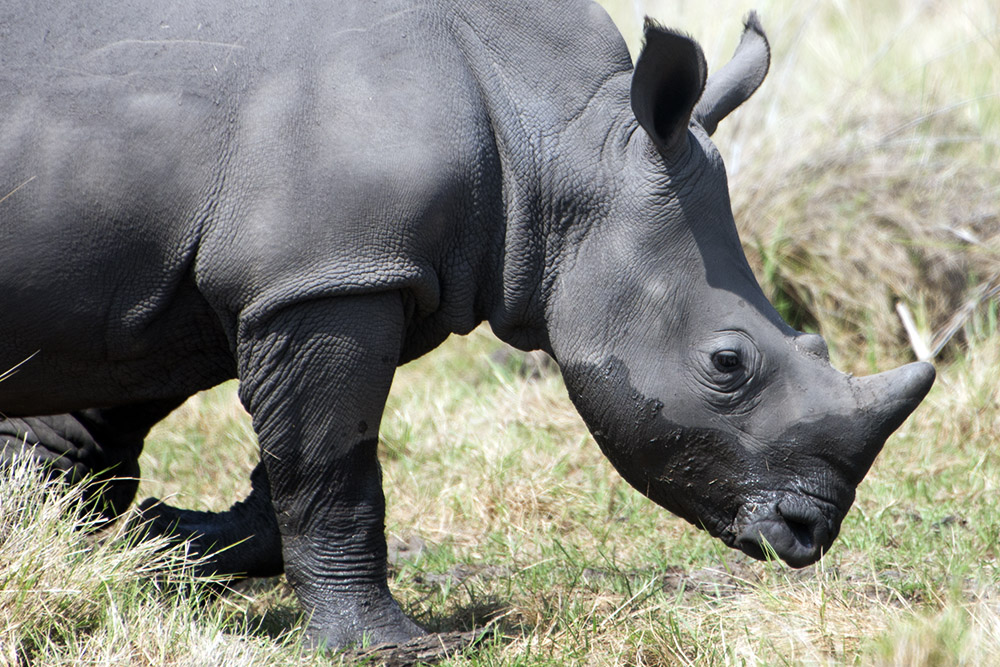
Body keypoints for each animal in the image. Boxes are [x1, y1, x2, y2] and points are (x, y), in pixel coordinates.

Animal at [0, 0, 934, 651]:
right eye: (728, 362)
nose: (809, 532)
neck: (552, 137)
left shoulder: (297, 274)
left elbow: (226, 434)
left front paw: (148, 537)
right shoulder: (327, 275)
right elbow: (330, 463)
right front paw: (389, 647)